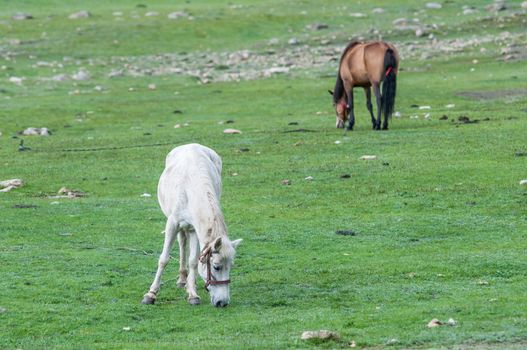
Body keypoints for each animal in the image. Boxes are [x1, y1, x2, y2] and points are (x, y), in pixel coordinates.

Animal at [143, 142, 244, 306]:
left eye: (231, 266)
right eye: (216, 267)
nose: (222, 302)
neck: (190, 189)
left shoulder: (195, 228)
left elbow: (193, 261)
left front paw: (192, 294)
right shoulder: (172, 223)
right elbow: (164, 259)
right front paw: (151, 294)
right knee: (181, 243)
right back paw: (181, 280)